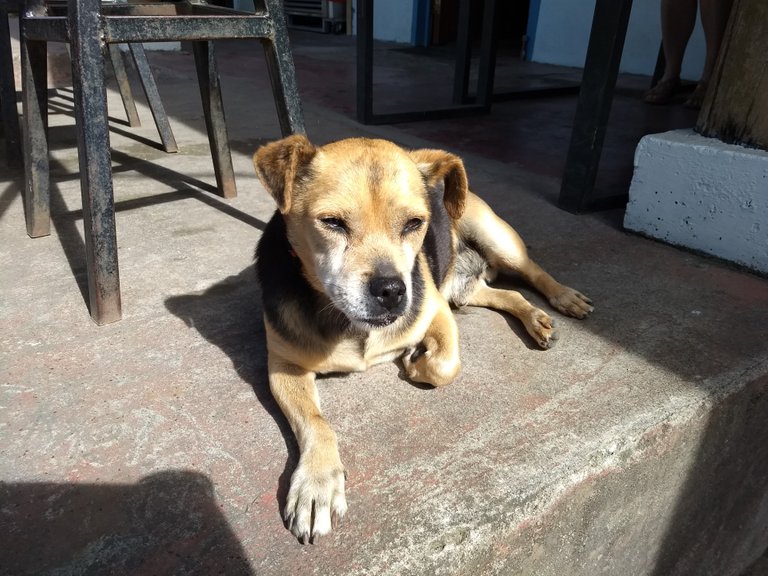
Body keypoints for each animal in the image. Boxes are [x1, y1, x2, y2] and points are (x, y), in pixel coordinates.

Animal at [255, 134, 592, 540]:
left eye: (414, 223)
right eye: (332, 223)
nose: (392, 291)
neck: (350, 323)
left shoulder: (435, 308)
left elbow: (446, 365)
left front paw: (415, 360)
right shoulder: (283, 364)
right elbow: (317, 423)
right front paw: (316, 485)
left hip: (496, 238)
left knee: (534, 272)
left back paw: (563, 299)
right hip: (464, 287)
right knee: (507, 294)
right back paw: (536, 318)